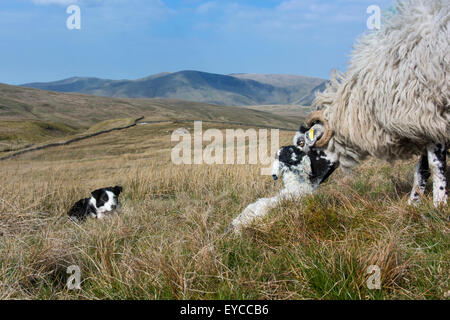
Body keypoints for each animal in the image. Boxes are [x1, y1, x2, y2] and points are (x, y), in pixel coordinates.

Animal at [294, 0, 448, 206]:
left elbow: (435, 165)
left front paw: (439, 204)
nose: (302, 188)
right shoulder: (423, 124)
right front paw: (414, 203)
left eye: (302, 143)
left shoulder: (431, 114)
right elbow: (422, 169)